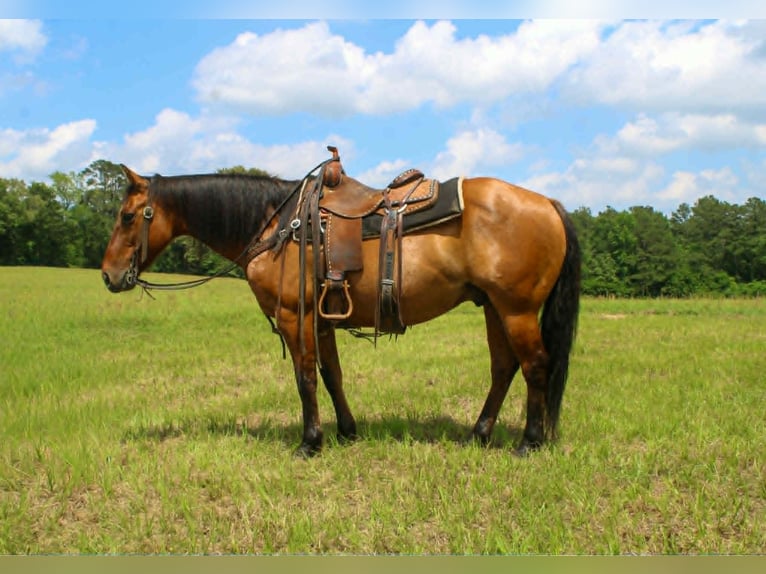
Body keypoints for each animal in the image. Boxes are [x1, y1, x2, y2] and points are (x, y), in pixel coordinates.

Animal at [101, 160, 581, 458]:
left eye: (127, 216)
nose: (108, 275)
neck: (276, 224)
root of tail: (548, 203)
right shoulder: (322, 319)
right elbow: (332, 375)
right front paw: (347, 432)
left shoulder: (294, 315)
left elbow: (305, 378)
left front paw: (310, 442)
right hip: (493, 308)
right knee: (504, 368)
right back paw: (478, 435)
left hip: (516, 310)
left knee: (536, 365)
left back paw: (529, 442)